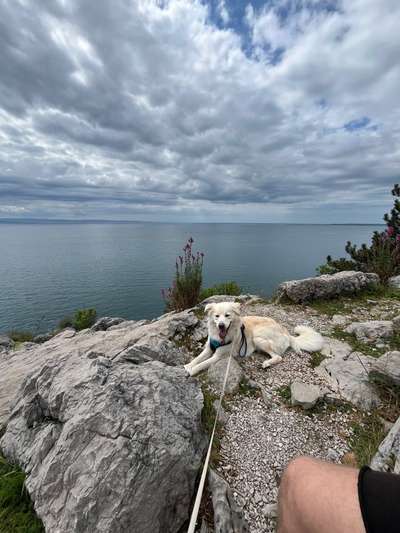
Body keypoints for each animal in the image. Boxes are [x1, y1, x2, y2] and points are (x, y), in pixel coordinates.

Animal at [184, 302, 324, 376]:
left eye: (227, 315)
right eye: (217, 316)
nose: (221, 325)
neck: (220, 338)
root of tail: (286, 332)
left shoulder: (218, 356)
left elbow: (203, 363)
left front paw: (192, 370)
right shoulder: (209, 348)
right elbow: (198, 358)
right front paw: (188, 365)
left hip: (257, 338)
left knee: (278, 357)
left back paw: (267, 363)